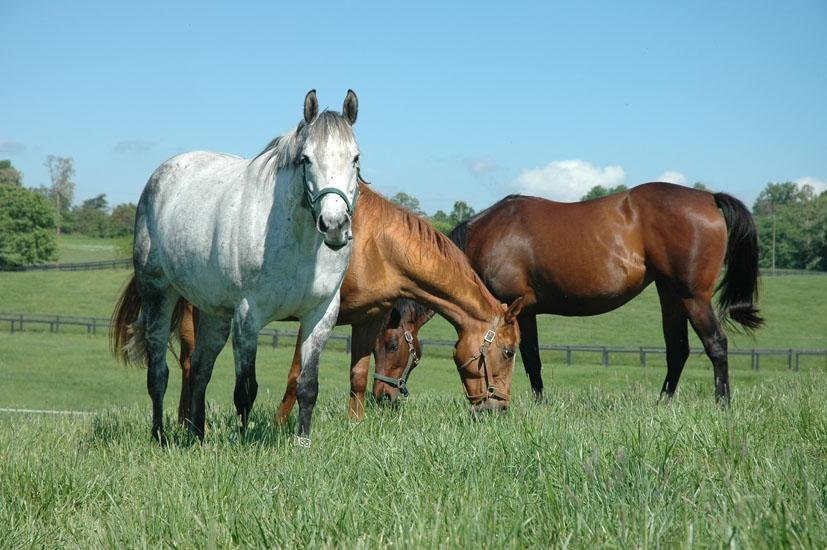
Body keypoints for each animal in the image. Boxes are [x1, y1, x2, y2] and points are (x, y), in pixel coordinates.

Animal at [111, 90, 362, 444]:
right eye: (306, 159)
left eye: (355, 159)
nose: (335, 225)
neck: (297, 241)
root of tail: (160, 177)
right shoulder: (248, 316)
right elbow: (245, 390)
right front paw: (244, 443)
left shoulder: (321, 314)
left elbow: (308, 386)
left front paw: (302, 443)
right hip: (158, 294)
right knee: (158, 372)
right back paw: (159, 436)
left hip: (214, 314)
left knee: (199, 370)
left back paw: (197, 436)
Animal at [371, 182, 763, 404]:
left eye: (390, 345)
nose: (381, 398)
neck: (485, 238)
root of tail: (708, 198)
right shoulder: (523, 312)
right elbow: (531, 358)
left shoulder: (516, 309)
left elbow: (529, 358)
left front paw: (535, 405)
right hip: (670, 294)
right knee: (677, 350)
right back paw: (662, 404)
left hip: (693, 296)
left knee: (716, 345)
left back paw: (722, 405)